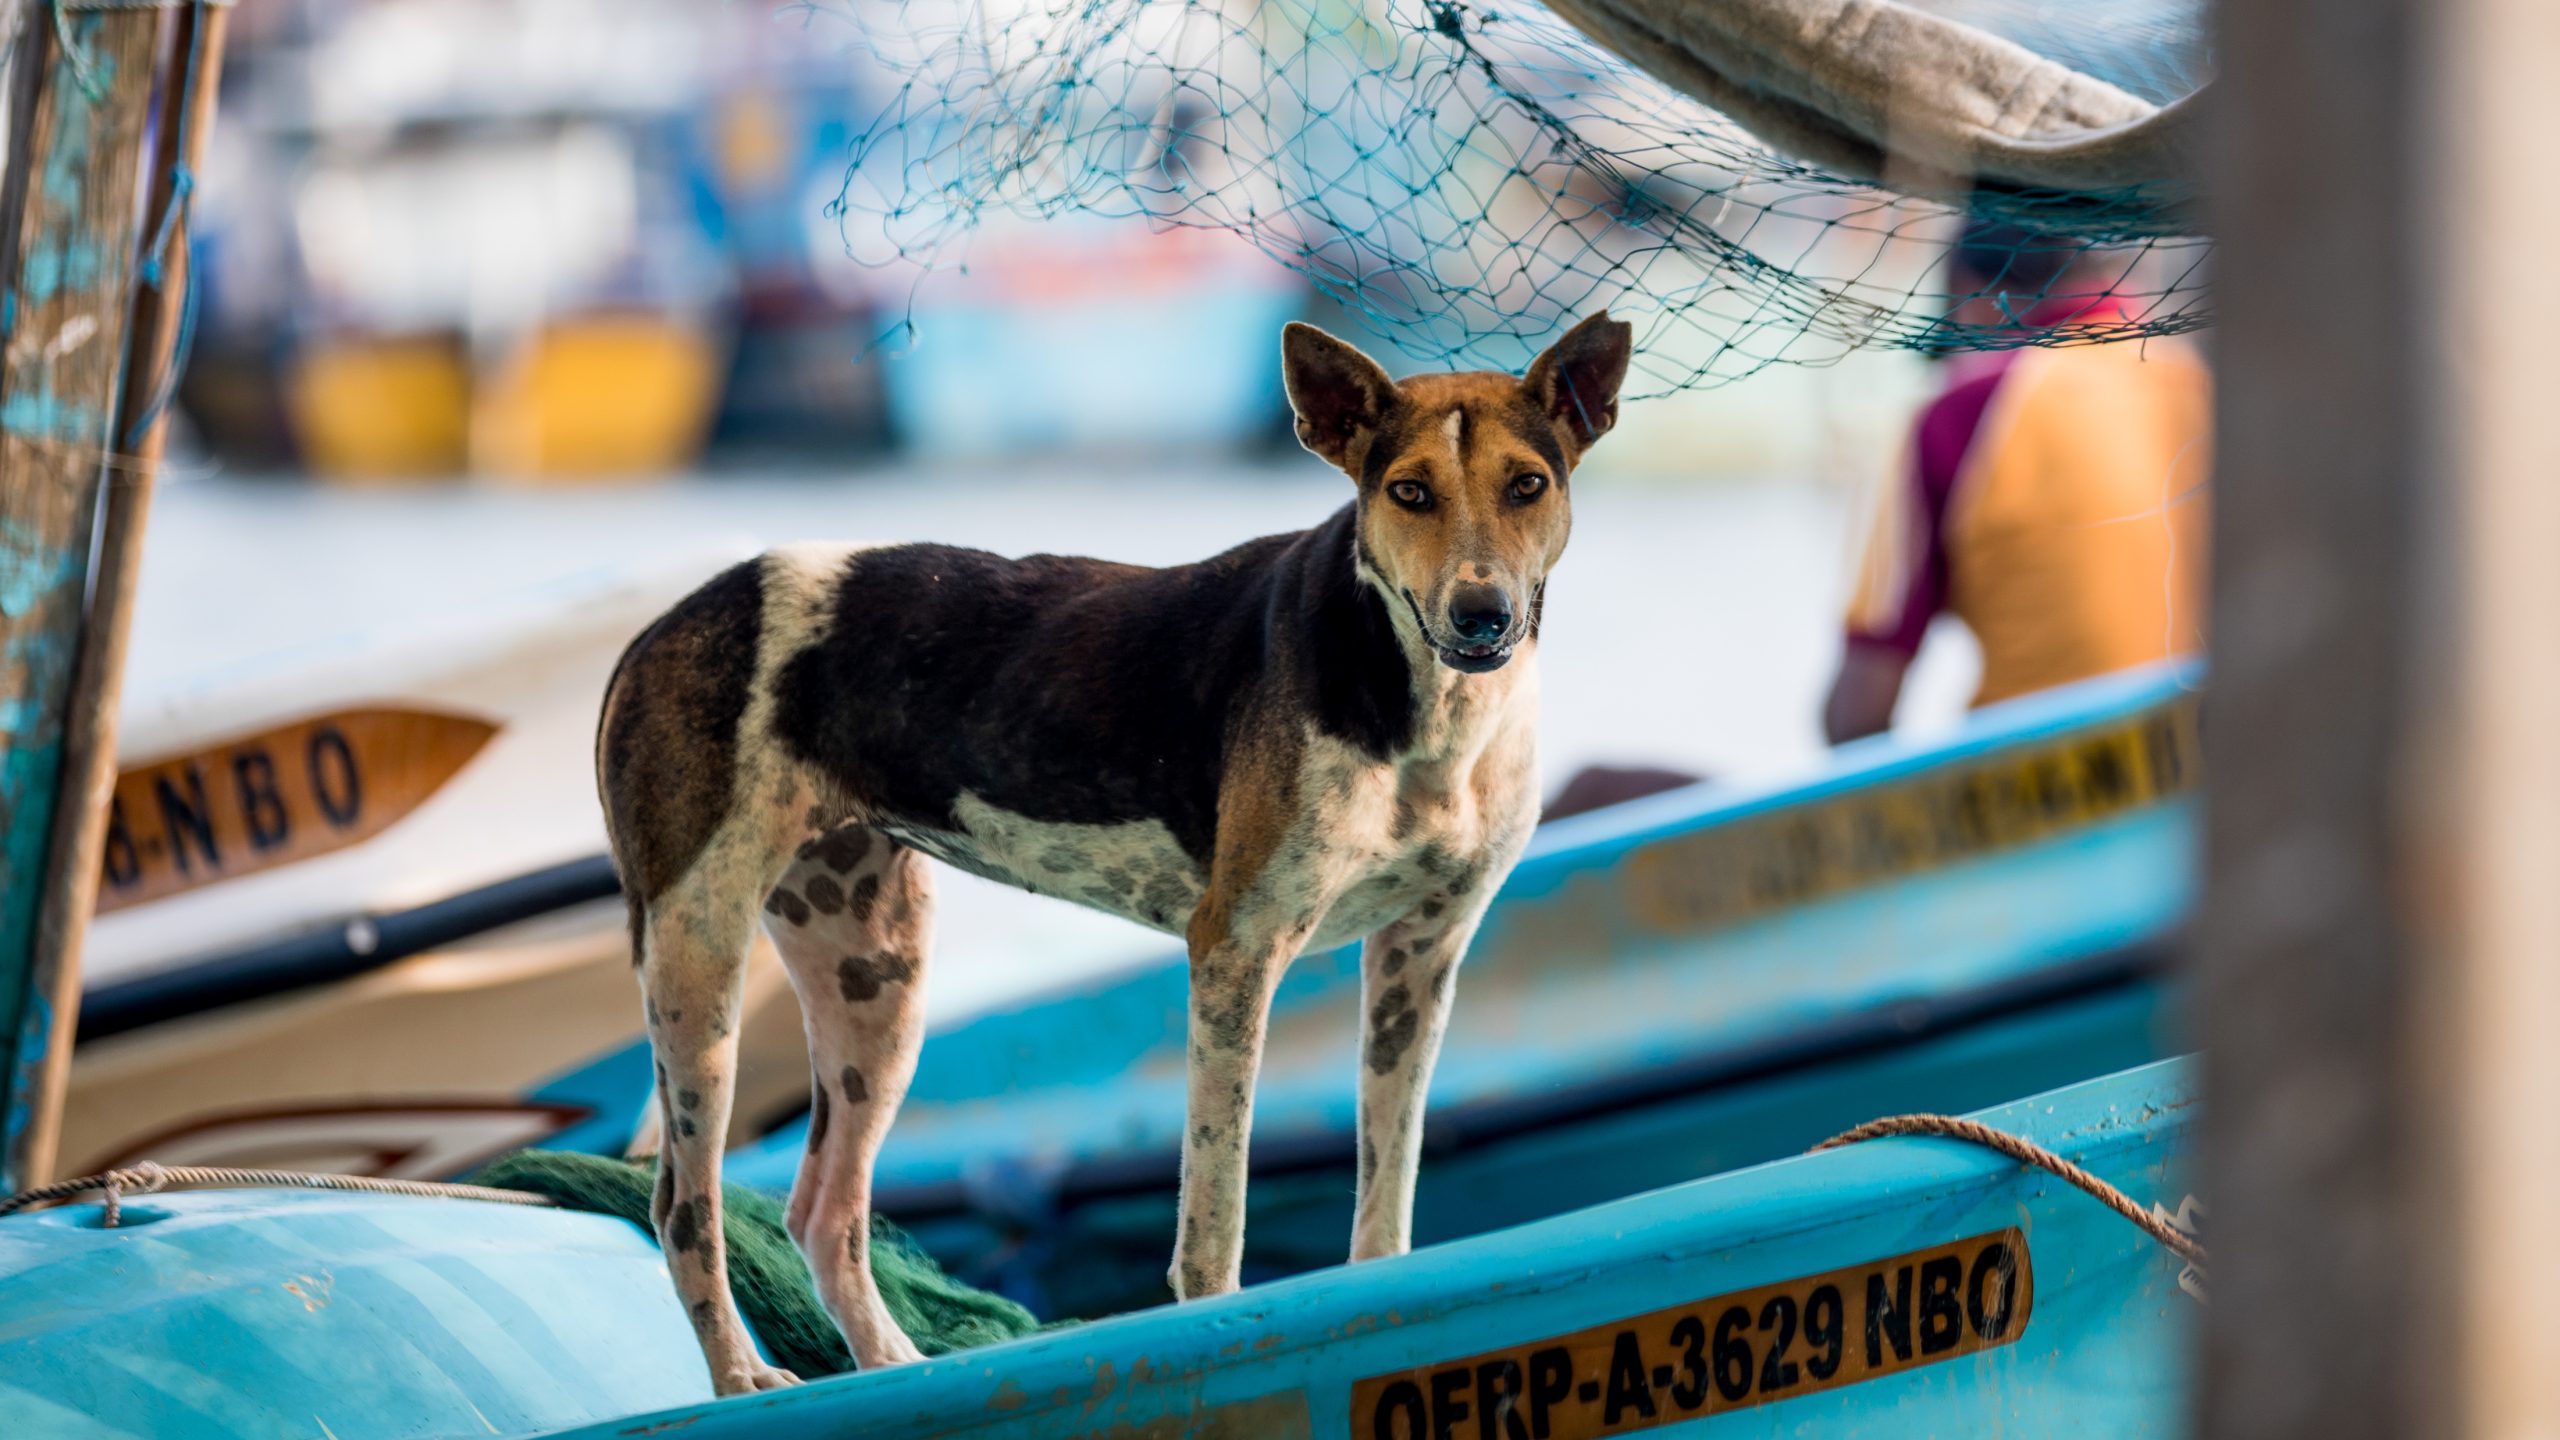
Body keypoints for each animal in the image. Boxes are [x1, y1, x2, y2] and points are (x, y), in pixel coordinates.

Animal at [596, 308, 1628, 1383]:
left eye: (1528, 484)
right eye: (1410, 491)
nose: (1481, 612)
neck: (1424, 705)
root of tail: (668, 622)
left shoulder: (1420, 960)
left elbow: (1386, 1202)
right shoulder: (1236, 954)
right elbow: (1214, 1218)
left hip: (873, 982)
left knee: (823, 1214)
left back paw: (893, 1368)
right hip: (699, 965)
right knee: (683, 1211)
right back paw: (741, 1377)